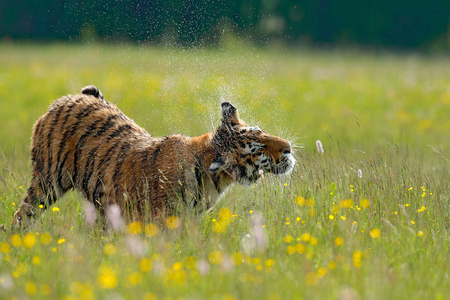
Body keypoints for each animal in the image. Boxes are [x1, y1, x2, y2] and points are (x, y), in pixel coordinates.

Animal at [11, 85, 296, 226]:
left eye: (261, 132)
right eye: (256, 149)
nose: (288, 148)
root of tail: (67, 99)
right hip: (46, 183)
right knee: (21, 215)